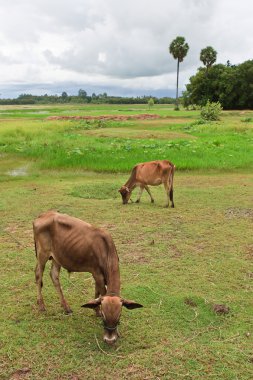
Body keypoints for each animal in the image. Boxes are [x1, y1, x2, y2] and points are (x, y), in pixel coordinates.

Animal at [33, 211, 142, 344]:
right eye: (104, 318)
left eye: (119, 317)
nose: (109, 340)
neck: (105, 249)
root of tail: (44, 214)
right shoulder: (96, 273)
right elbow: (101, 291)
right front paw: (97, 310)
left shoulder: (99, 275)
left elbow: (97, 291)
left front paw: (95, 309)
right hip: (42, 254)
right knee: (38, 275)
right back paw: (41, 305)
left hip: (57, 257)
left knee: (54, 275)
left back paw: (66, 307)